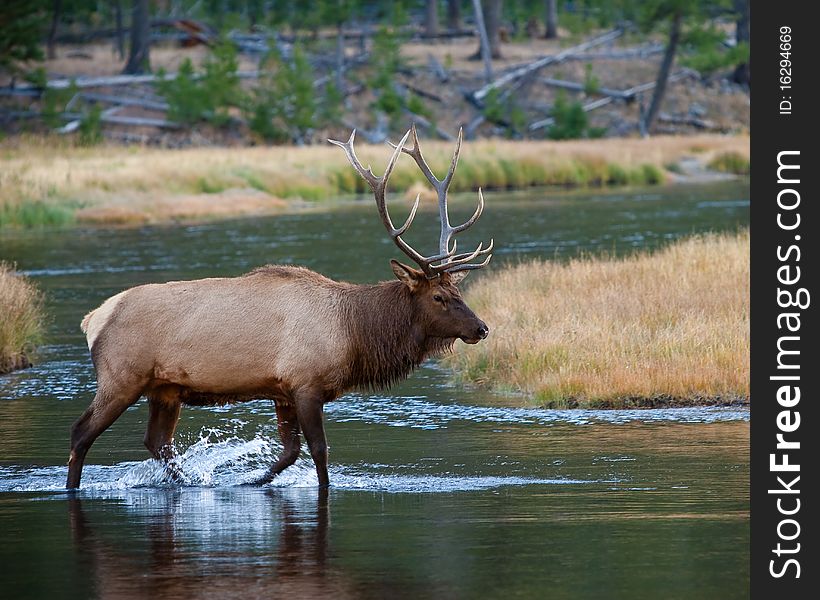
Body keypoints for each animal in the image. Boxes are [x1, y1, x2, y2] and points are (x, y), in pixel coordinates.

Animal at [67, 125, 490, 488]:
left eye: (458, 290)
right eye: (439, 297)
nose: (481, 328)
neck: (354, 334)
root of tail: (92, 319)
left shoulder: (281, 390)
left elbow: (288, 453)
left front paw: (251, 480)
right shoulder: (305, 383)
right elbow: (318, 451)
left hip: (165, 389)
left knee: (157, 442)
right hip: (121, 377)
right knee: (81, 432)